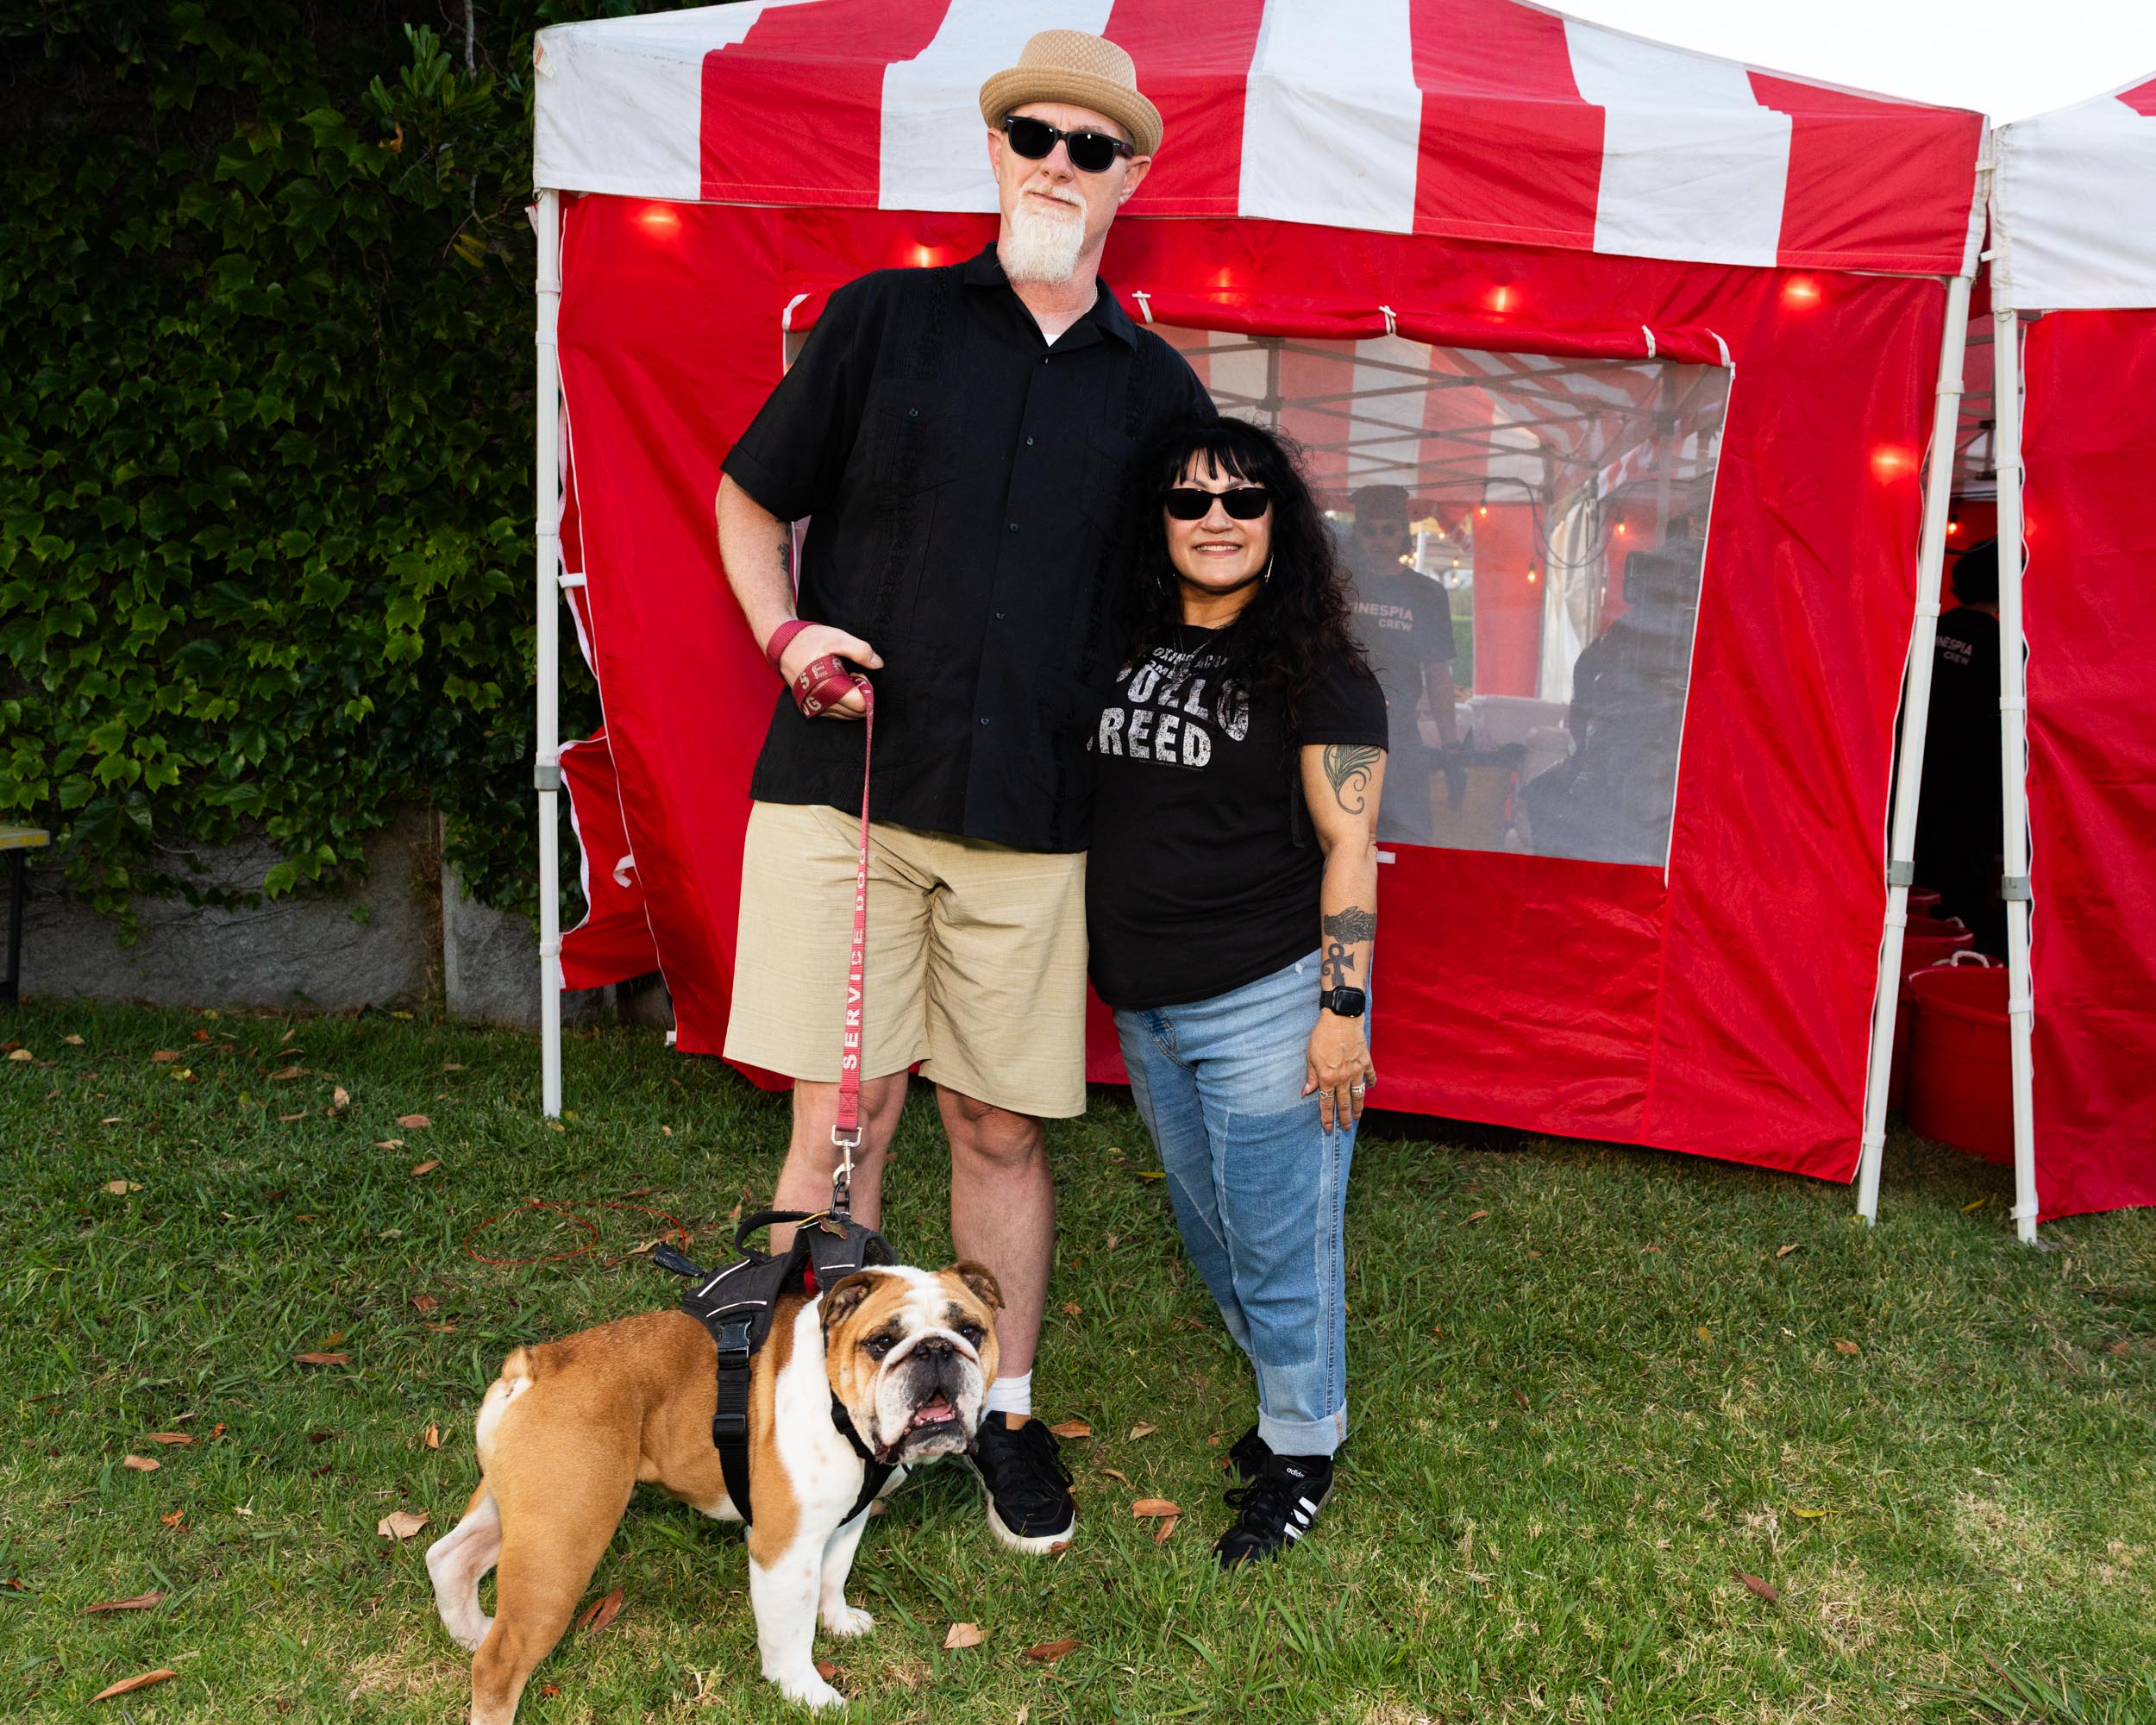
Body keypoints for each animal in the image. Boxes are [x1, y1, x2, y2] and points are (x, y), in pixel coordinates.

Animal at [424, 1261, 1001, 1719]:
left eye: (972, 1332)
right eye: (880, 1343)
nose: (935, 1350)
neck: (839, 1402)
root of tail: (534, 1365)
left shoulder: (844, 1520)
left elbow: (833, 1576)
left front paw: (837, 1622)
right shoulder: (783, 1550)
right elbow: (789, 1632)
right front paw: (806, 1693)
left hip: (518, 1511)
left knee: (448, 1557)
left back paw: (469, 1631)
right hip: (563, 1542)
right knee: (500, 1660)